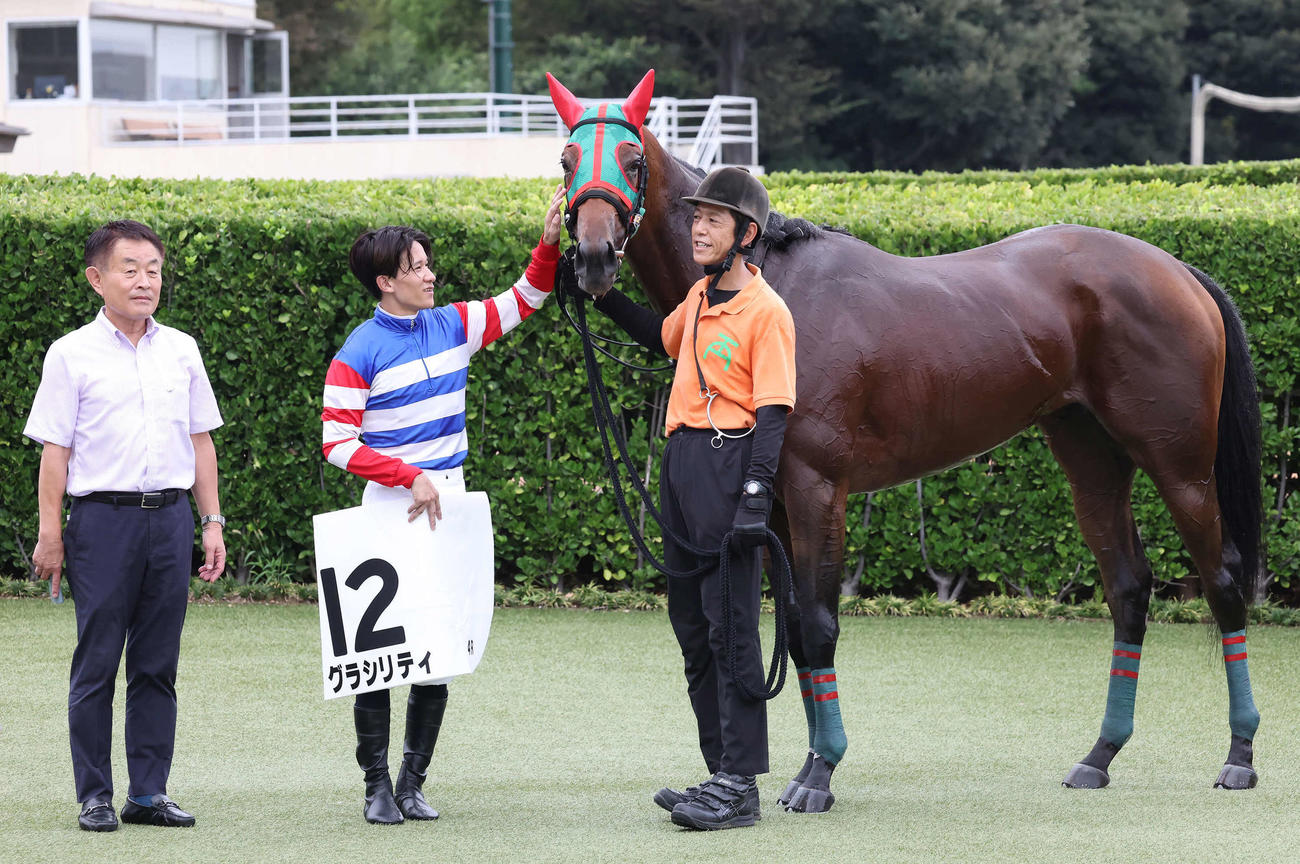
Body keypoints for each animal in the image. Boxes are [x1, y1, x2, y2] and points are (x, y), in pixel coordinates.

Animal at [547, 70, 1264, 811]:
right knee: (1128, 589)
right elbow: (795, 630)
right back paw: (1099, 755)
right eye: (566, 161)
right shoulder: (772, 506)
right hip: (1091, 460)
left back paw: (1238, 755)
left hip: (1181, 467)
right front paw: (808, 765)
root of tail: (1180, 272)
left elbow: (820, 624)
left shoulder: (818, 490)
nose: (592, 258)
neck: (769, 286)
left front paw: (820, 773)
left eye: (633, 161)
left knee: (1223, 584)